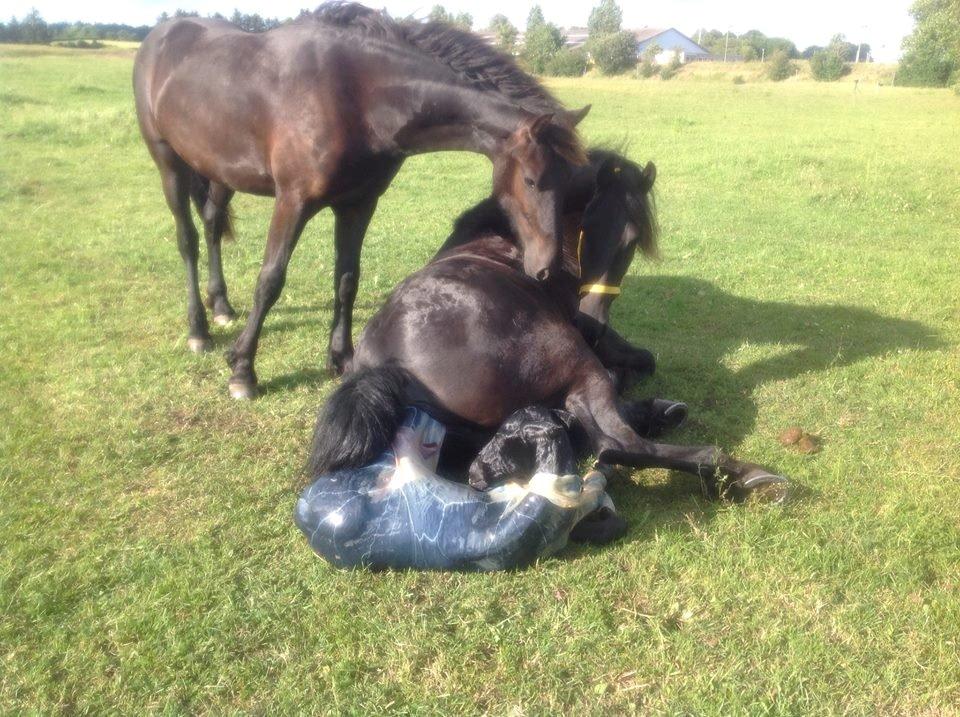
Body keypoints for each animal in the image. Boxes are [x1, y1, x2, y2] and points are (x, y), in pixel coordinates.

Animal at [131, 1, 588, 398]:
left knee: (211, 224)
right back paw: (199, 330)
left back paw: (222, 305)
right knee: (188, 240)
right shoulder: (292, 201)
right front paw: (243, 369)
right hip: (168, 163)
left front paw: (341, 357)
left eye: (570, 181)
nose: (545, 267)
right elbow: (270, 280)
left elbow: (347, 279)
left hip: (220, 170)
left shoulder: (358, 204)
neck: (357, 95)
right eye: (531, 180)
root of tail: (159, 36)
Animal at [310, 152, 788, 504]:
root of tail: (387, 367)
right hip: (573, 358)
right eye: (586, 230)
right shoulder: (598, 344)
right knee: (617, 442)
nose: (591, 318)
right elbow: (641, 361)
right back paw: (743, 472)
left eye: (631, 240)